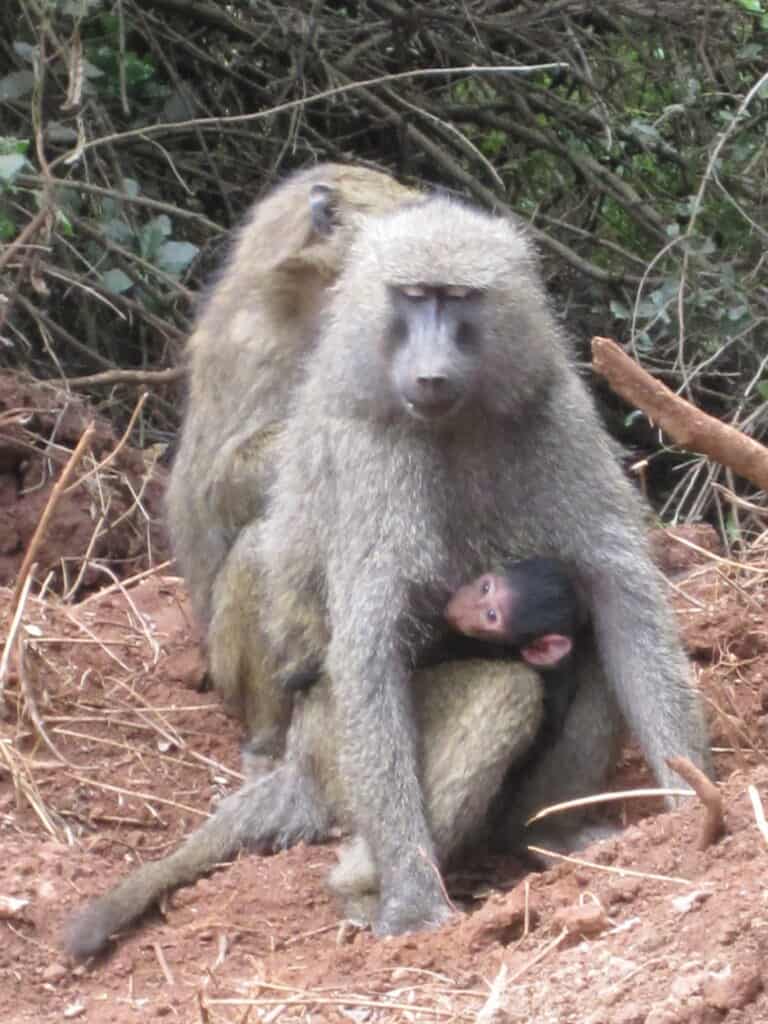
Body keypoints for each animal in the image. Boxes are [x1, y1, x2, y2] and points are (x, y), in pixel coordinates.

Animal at [255, 194, 711, 937]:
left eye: (459, 299)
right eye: (413, 298)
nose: (431, 372)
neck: (455, 422)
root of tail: (299, 761)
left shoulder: (554, 411)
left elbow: (618, 592)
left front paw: (695, 794)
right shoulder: (371, 454)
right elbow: (370, 650)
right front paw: (412, 899)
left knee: (586, 647)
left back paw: (545, 834)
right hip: (329, 740)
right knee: (504, 691)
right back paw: (362, 888)